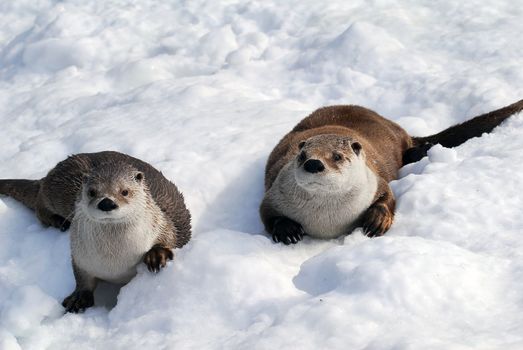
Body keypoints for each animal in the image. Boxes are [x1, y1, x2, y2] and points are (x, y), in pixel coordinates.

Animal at [0, 150, 192, 312]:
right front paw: (78, 297)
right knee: (41, 202)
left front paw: (156, 255)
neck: (114, 260)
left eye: (125, 191)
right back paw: (59, 221)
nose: (106, 202)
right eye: (92, 192)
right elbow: (82, 278)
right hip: (59, 189)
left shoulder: (163, 224)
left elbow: (170, 237)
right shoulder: (80, 257)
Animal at [260, 100, 523, 245]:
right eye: (302, 156)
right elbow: (266, 213)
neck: (326, 220)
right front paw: (288, 231)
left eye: (337, 156)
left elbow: (388, 198)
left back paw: (422, 151)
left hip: (395, 139)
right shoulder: (274, 193)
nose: (313, 164)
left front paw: (376, 221)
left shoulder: (375, 182)